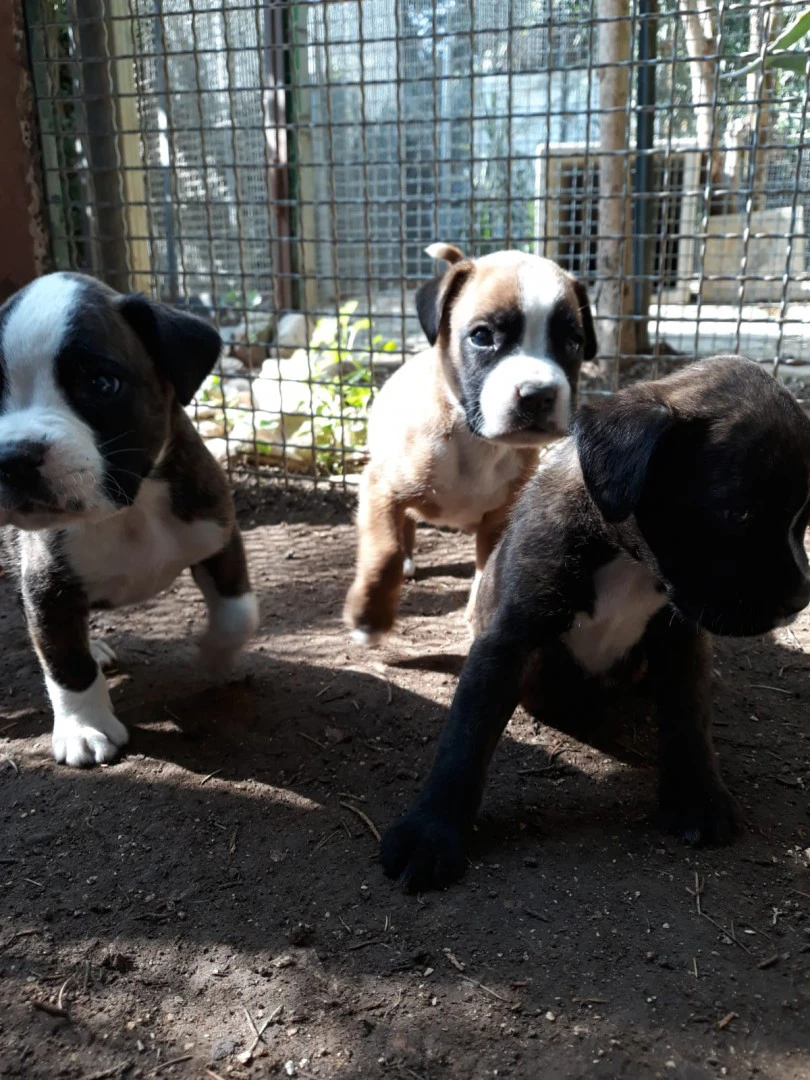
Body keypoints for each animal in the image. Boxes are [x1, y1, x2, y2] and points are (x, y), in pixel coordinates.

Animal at [0, 274, 260, 773]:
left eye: (101, 384)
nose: (12, 457)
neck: (129, 509)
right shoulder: (47, 586)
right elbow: (65, 661)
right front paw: (84, 726)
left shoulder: (219, 535)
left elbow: (238, 613)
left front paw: (214, 659)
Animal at [384, 358, 810, 889]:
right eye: (738, 513)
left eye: (803, 519)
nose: (801, 598)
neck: (630, 560)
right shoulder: (508, 642)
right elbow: (465, 738)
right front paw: (431, 832)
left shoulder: (680, 641)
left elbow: (690, 719)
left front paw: (697, 797)